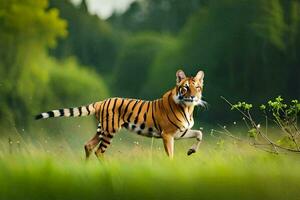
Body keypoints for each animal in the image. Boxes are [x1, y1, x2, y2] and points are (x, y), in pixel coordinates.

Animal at [34, 69, 205, 159]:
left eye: (197, 87)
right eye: (185, 87)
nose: (193, 97)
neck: (188, 108)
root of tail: (101, 101)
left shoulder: (180, 132)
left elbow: (199, 133)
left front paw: (191, 151)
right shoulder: (168, 134)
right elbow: (170, 154)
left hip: (102, 129)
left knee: (89, 146)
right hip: (110, 130)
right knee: (99, 151)